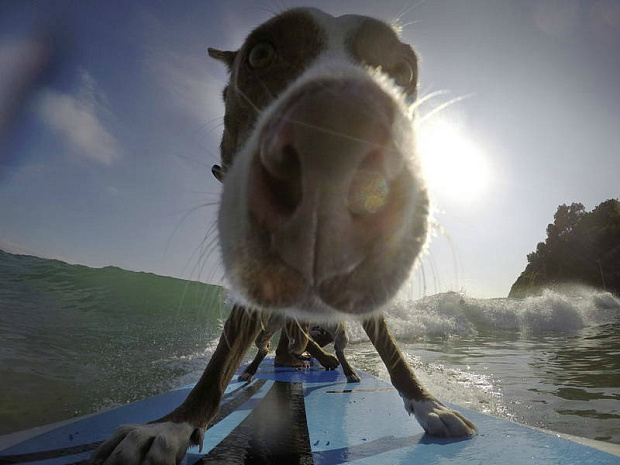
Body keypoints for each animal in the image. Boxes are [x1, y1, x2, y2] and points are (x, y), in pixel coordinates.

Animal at [92, 8, 478, 464]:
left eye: (403, 70)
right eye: (260, 54)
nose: (333, 136)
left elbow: (391, 349)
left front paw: (428, 403)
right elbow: (219, 361)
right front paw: (171, 426)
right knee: (273, 346)